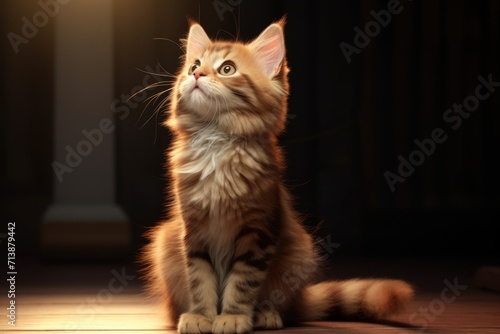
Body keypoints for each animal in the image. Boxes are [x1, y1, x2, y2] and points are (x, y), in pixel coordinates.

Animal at [142, 18, 414, 334]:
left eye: (227, 69)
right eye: (194, 65)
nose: (196, 73)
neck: (216, 142)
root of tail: (300, 298)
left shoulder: (258, 232)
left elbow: (242, 283)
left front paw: (233, 317)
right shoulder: (194, 231)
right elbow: (200, 279)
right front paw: (201, 316)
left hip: (299, 251)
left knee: (282, 307)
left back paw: (265, 315)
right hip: (165, 242)